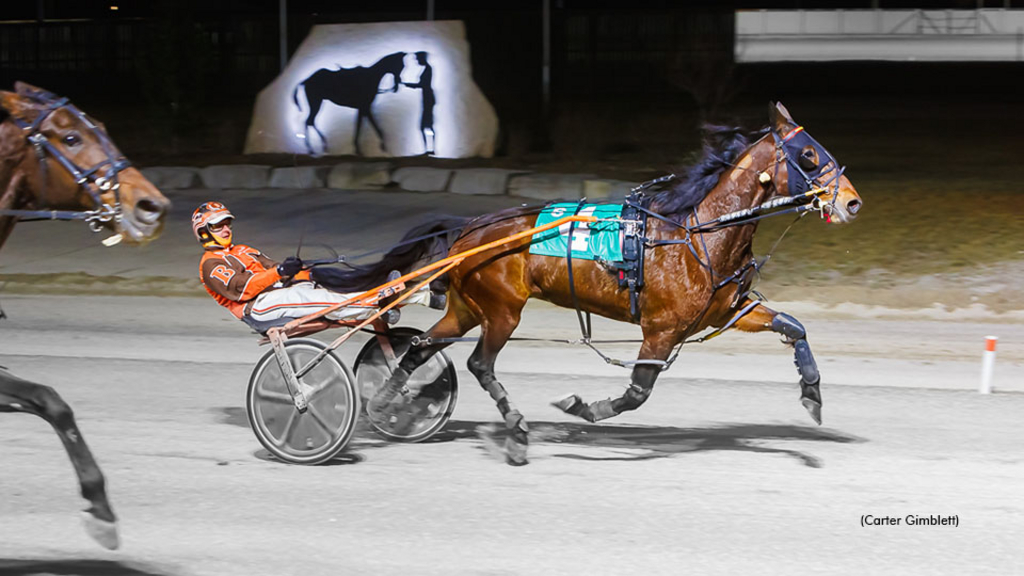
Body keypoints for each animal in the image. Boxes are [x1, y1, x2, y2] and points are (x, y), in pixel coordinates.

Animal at [323, 103, 860, 463]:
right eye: (808, 155)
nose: (852, 202)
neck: (696, 233)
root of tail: (471, 226)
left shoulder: (728, 311)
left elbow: (793, 326)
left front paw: (812, 394)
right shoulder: (661, 329)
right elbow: (637, 393)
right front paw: (582, 407)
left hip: (466, 308)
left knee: (419, 348)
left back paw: (386, 403)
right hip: (502, 311)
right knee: (478, 362)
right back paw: (516, 431)